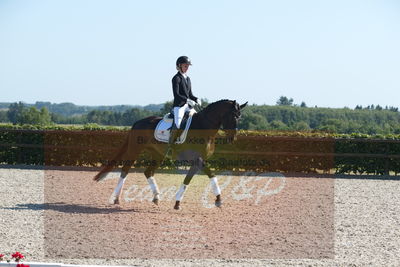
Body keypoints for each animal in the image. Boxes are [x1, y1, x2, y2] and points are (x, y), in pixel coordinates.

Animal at [93, 99, 247, 210]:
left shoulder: (199, 160)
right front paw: (217, 199)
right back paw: (116, 199)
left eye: (240, 117)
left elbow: (196, 178)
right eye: (233, 116)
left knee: (148, 172)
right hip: (134, 150)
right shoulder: (197, 159)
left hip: (158, 155)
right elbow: (204, 176)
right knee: (125, 171)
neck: (203, 127)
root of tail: (137, 122)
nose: (233, 138)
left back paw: (156, 197)